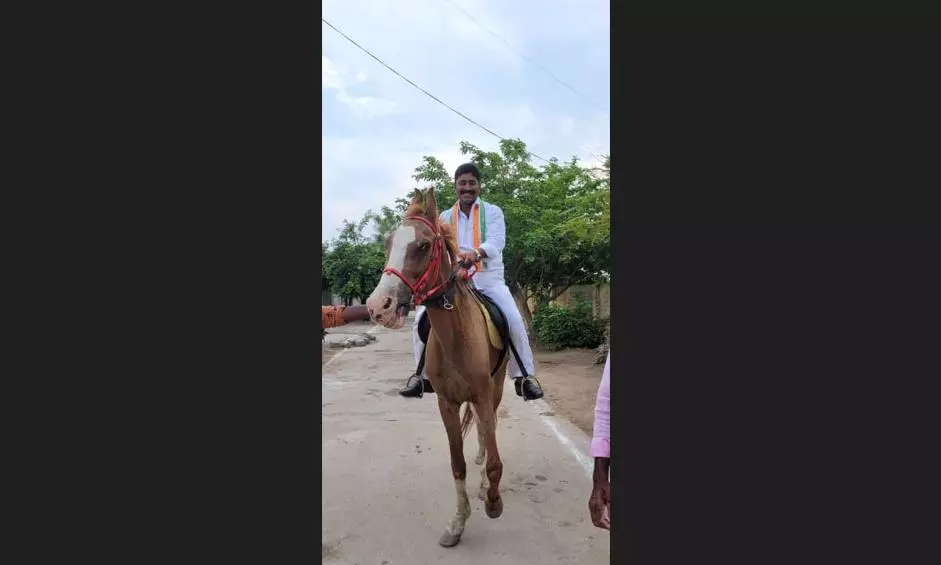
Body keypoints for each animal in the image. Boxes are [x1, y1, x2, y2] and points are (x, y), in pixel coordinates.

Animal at [364, 186, 506, 548]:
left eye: (424, 245)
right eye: (388, 243)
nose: (378, 306)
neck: (456, 336)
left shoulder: (484, 394)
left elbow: (495, 461)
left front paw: (493, 500)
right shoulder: (447, 403)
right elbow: (457, 464)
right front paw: (457, 523)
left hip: (497, 388)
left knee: (489, 429)